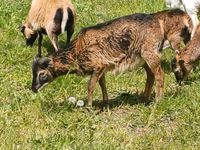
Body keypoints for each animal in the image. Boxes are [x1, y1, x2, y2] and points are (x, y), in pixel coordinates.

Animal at [31, 9, 194, 106]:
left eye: (42, 74)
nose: (33, 89)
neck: (76, 51)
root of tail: (158, 21)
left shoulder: (97, 65)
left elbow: (90, 86)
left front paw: (89, 107)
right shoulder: (101, 68)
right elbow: (102, 84)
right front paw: (105, 103)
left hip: (150, 54)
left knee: (159, 74)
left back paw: (157, 102)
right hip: (142, 57)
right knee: (150, 75)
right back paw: (144, 98)